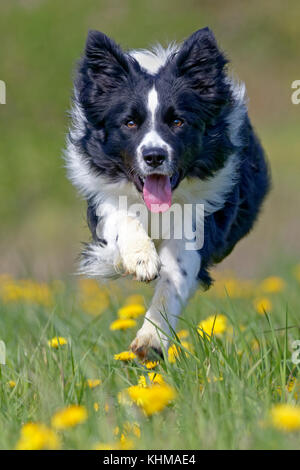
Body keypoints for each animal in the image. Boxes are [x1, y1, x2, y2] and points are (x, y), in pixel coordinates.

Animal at [65, 28, 270, 360]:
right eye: (130, 122)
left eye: (177, 121)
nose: (154, 156)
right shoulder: (104, 199)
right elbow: (122, 221)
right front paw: (140, 259)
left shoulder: (198, 220)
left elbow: (175, 276)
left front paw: (151, 340)